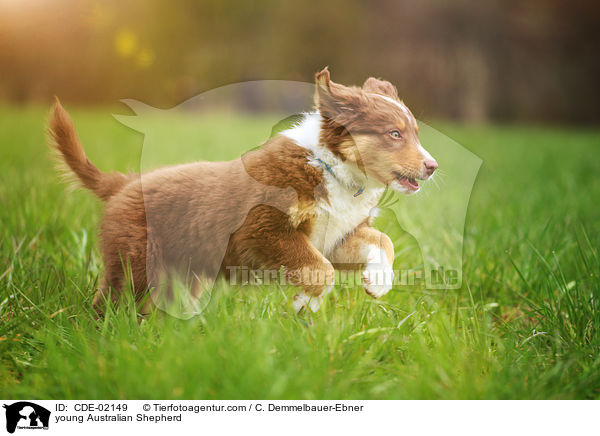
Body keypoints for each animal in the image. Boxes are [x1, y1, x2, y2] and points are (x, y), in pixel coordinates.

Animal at [50, 67, 436, 314]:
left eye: (414, 133)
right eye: (394, 134)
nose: (433, 166)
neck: (333, 170)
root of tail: (125, 183)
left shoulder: (337, 235)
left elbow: (381, 241)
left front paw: (379, 280)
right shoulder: (263, 229)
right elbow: (320, 269)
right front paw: (305, 303)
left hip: (180, 273)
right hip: (135, 263)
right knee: (111, 303)